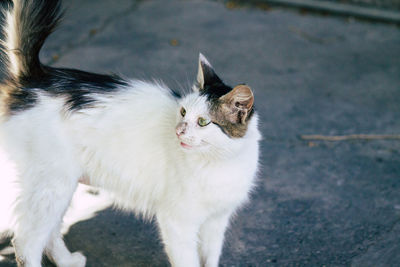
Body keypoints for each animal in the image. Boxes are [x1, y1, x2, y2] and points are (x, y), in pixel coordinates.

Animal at [0, 0, 260, 267]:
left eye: (203, 122)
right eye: (183, 112)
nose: (178, 130)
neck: (220, 161)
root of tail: (35, 78)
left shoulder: (216, 222)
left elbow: (211, 257)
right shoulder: (178, 222)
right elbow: (188, 261)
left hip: (60, 186)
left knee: (49, 232)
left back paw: (67, 261)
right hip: (51, 184)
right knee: (26, 241)